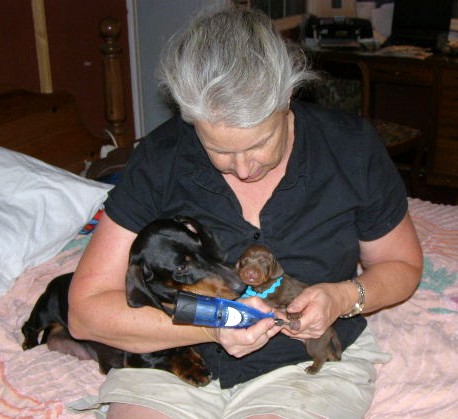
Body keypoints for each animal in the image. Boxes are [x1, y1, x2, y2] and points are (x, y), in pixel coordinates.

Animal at [238, 244, 342, 376]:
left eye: (263, 262)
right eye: (244, 262)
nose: (250, 272)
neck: (265, 287)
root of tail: (330, 328)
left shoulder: (293, 295)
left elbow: (292, 303)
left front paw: (293, 314)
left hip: (315, 341)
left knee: (321, 355)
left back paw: (313, 368)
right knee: (328, 353)